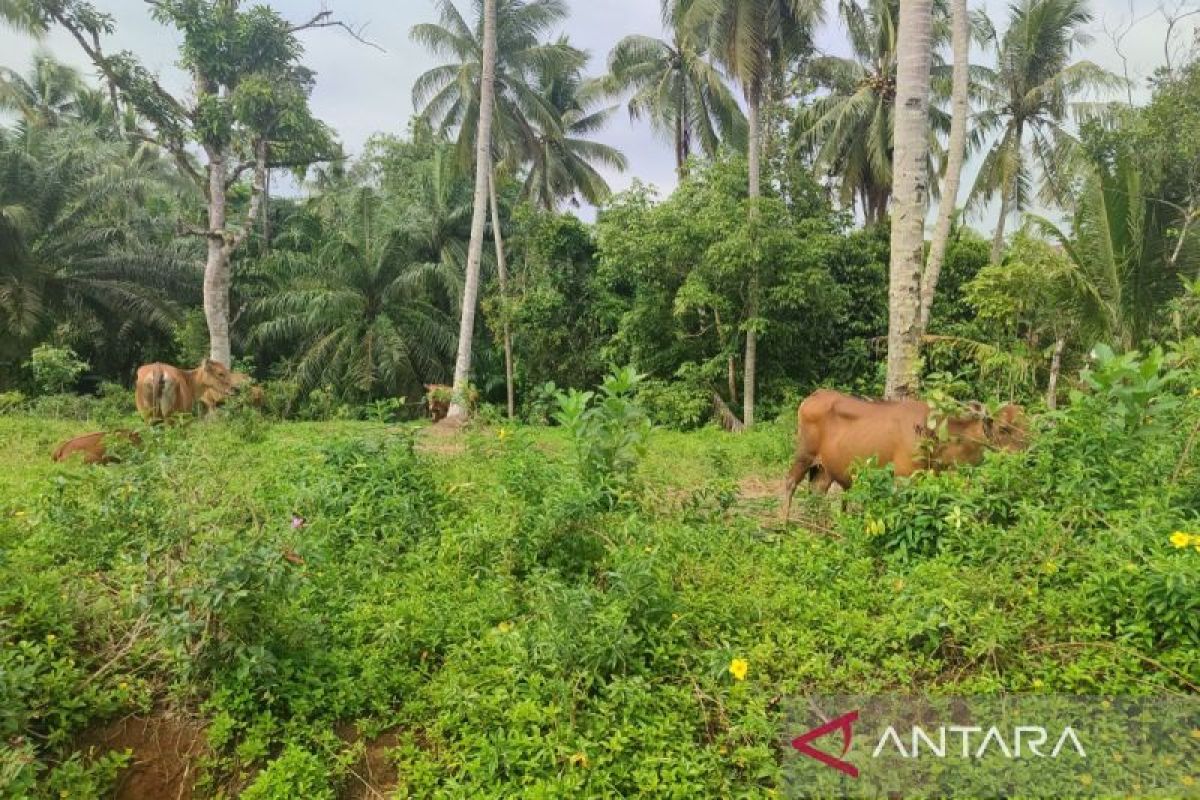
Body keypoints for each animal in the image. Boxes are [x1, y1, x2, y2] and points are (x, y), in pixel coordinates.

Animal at [782, 388, 1027, 525]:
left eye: (1026, 424)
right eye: (1004, 428)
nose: (1026, 455)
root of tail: (815, 395)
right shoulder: (904, 477)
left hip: (825, 469)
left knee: (816, 493)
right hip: (804, 454)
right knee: (790, 483)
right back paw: (784, 526)